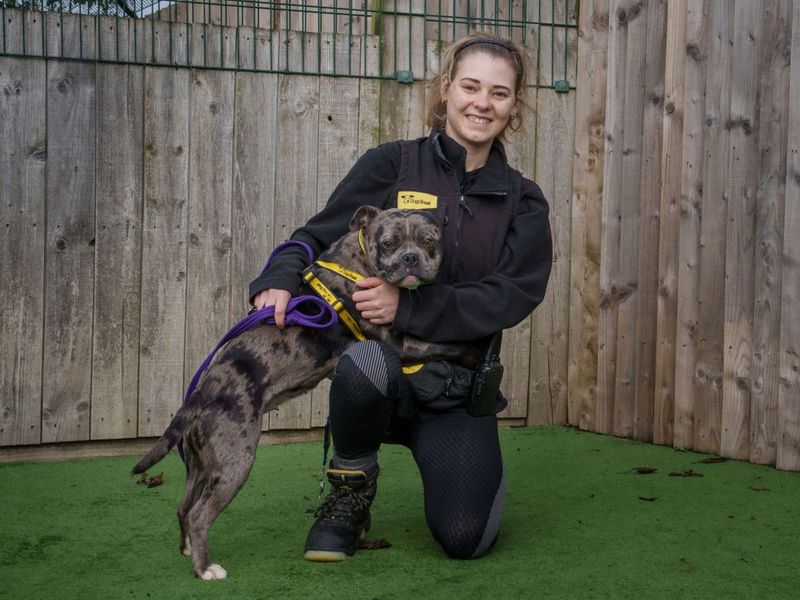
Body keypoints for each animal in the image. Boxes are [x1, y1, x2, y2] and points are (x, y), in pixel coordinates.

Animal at [133, 204, 476, 580]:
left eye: (429, 241)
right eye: (389, 243)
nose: (411, 258)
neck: (358, 260)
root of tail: (201, 394)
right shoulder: (399, 343)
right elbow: (442, 344)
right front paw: (473, 354)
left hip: (199, 466)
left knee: (183, 507)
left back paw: (188, 552)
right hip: (235, 462)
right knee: (198, 516)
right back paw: (206, 568)